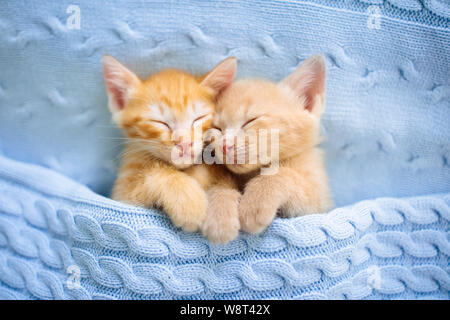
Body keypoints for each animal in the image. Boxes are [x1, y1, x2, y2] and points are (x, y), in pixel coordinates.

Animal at [102, 55, 241, 242]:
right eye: (160, 122)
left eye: (198, 118)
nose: (185, 143)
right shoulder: (121, 195)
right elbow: (156, 173)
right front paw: (188, 202)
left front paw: (221, 215)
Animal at [213, 54, 332, 235]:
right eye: (217, 128)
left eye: (251, 121)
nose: (225, 145)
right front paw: (219, 213)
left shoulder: (321, 202)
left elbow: (281, 174)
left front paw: (255, 203)